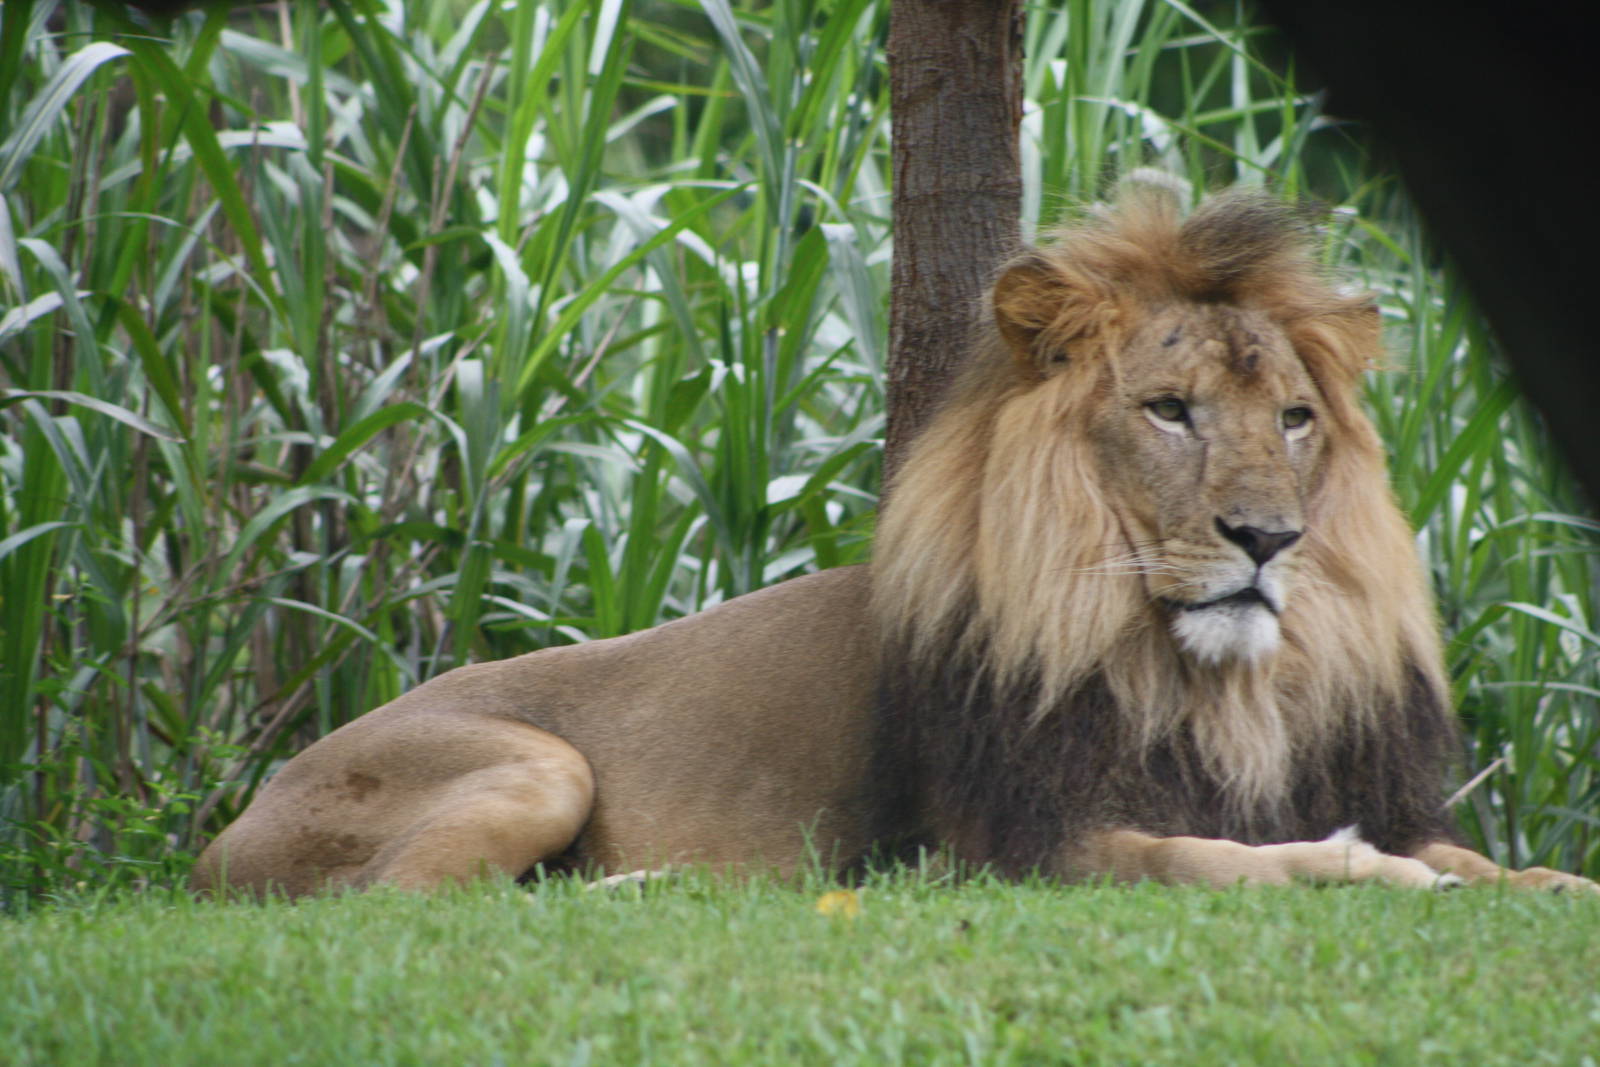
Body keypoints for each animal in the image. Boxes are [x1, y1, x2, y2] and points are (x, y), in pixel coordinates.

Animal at [191, 186, 1598, 898]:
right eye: (1168, 409)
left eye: (1295, 418)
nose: (1268, 537)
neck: (1210, 680)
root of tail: (226, 823)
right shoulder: (1019, 843)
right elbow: (1212, 859)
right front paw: (1366, 873)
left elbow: (1496, 862)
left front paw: (1539, 889)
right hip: (539, 765)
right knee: (406, 905)